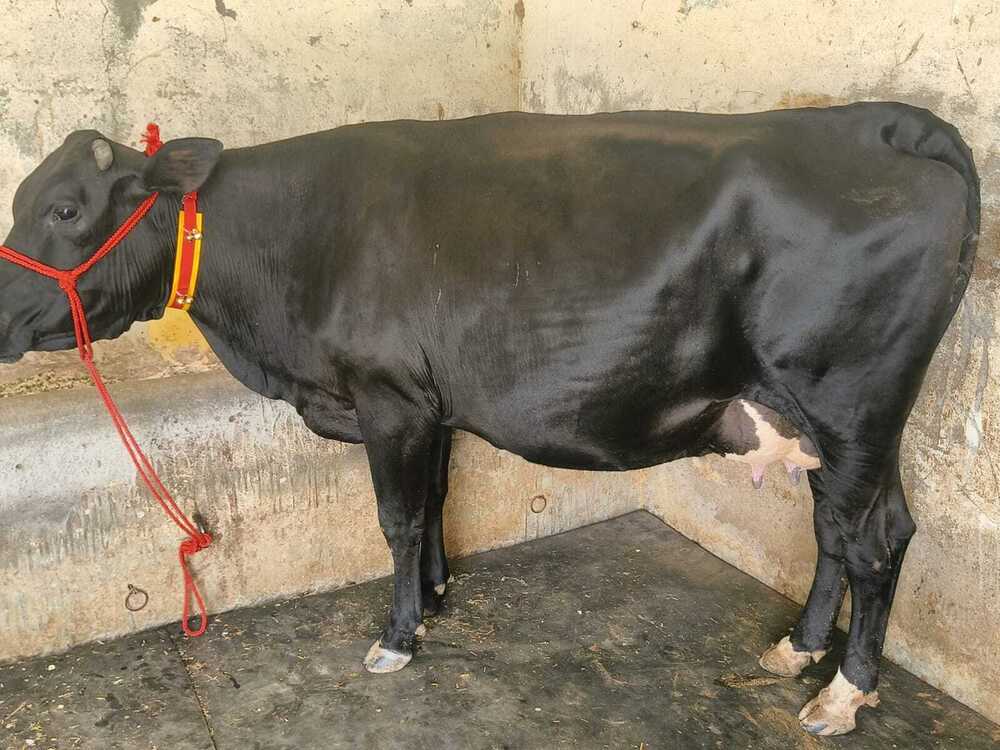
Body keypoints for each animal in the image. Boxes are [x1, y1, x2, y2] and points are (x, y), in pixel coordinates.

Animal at [0, 102, 978, 736]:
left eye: (64, 209)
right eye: (20, 201)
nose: (1, 314)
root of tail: (874, 122)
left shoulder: (389, 397)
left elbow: (397, 516)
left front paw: (397, 636)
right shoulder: (430, 405)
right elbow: (435, 500)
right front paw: (435, 595)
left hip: (851, 404)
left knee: (868, 541)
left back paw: (843, 694)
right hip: (841, 422)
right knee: (854, 530)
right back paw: (798, 650)